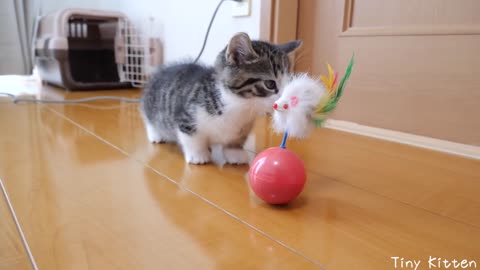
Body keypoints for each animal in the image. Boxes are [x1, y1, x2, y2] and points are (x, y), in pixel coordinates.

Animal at [139, 32, 302, 166]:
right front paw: (198, 155)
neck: (241, 106)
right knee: (150, 119)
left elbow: (236, 139)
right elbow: (191, 138)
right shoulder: (186, 117)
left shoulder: (243, 127)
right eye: (270, 84)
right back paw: (156, 135)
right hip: (152, 105)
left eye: (289, 82)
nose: (290, 99)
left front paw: (234, 153)